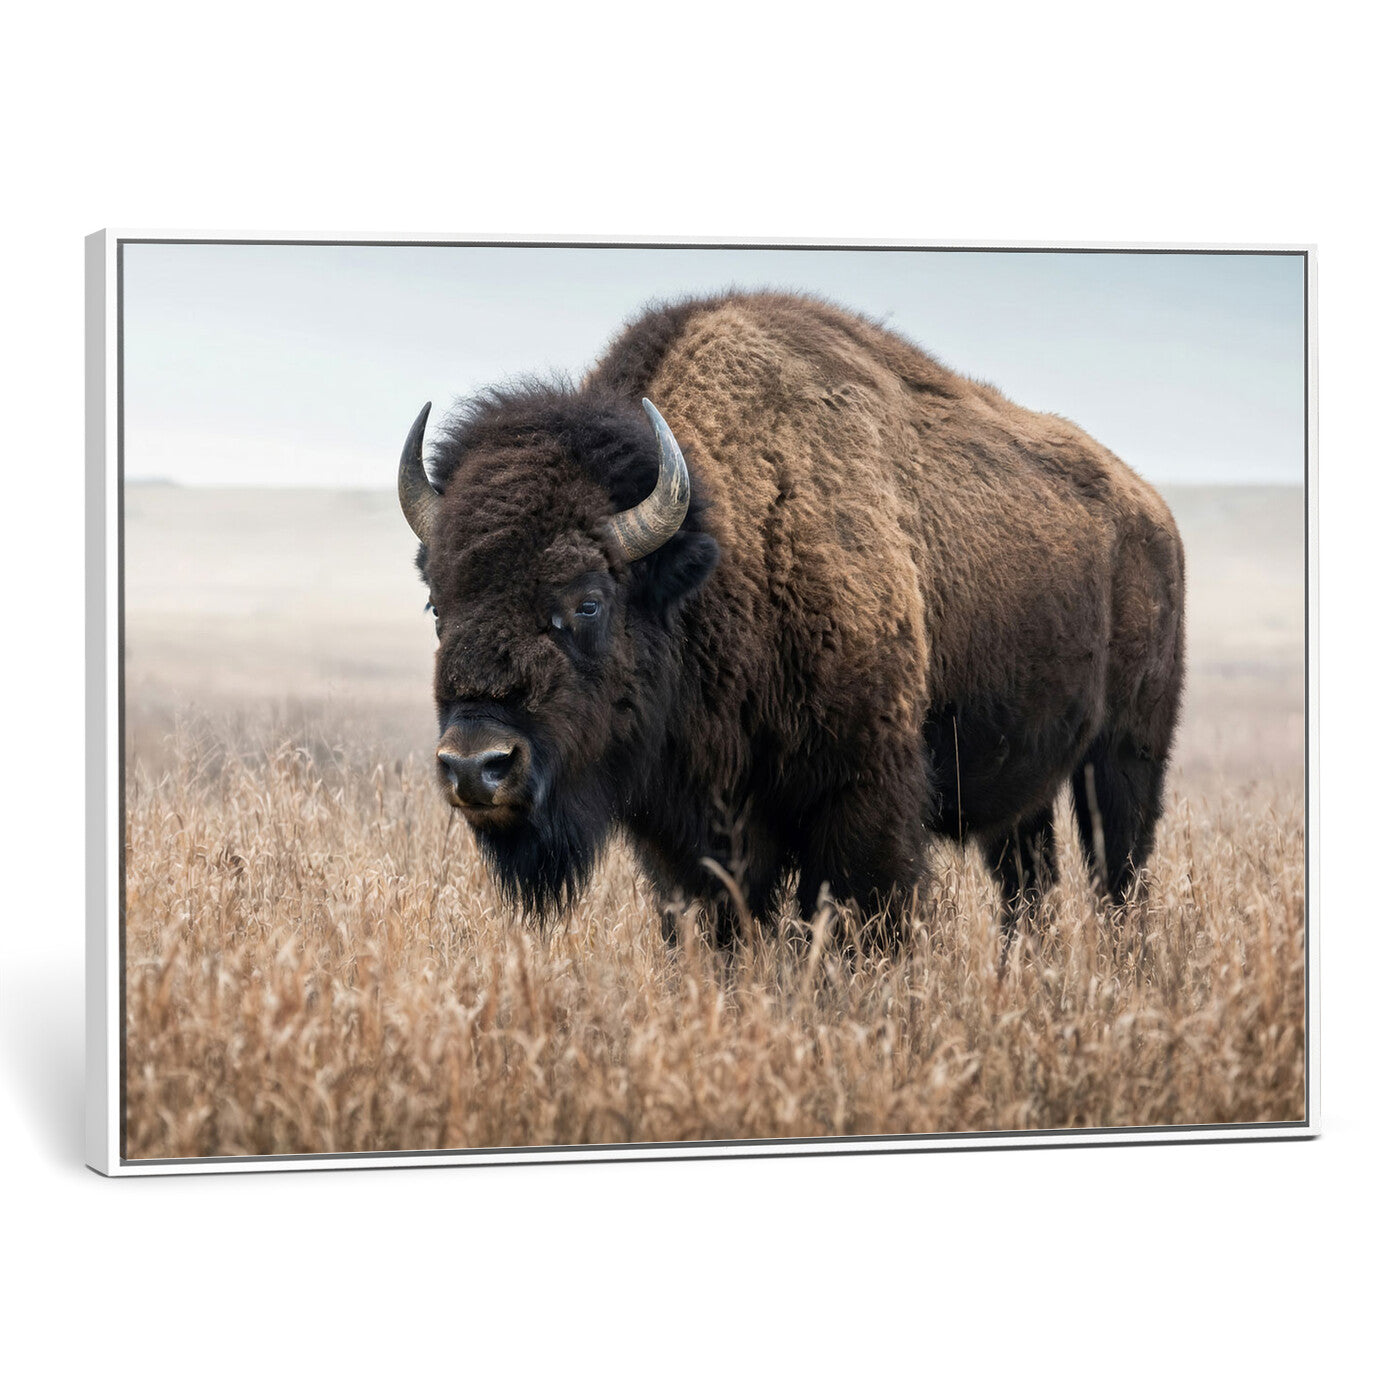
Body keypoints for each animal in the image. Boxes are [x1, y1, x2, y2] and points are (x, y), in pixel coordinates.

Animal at [398, 291, 1185, 943]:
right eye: (438, 602)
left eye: (587, 601)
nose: (475, 765)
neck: (723, 549)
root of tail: (1152, 513)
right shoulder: (689, 836)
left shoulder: (862, 803)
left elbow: (864, 925)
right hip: (1026, 789)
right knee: (1030, 885)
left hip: (1126, 754)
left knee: (1119, 878)